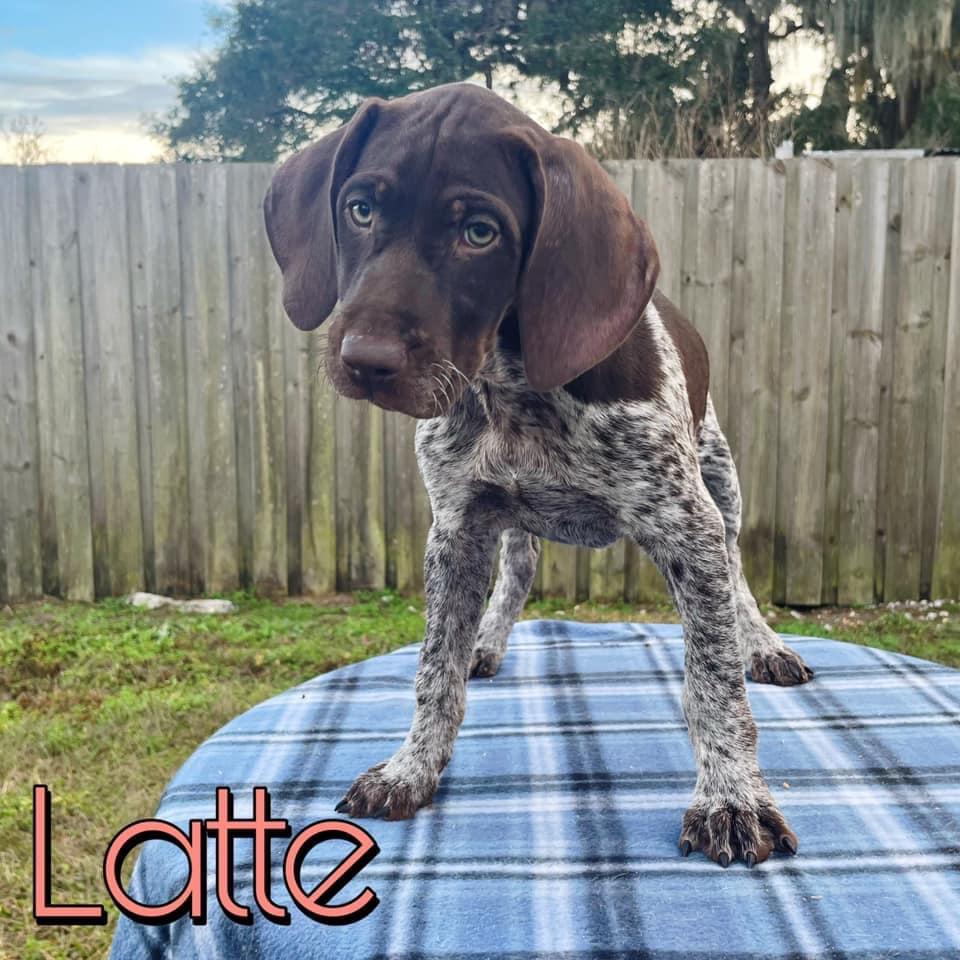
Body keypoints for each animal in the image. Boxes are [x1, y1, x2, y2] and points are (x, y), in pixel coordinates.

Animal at [264, 82, 814, 868]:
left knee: (738, 572)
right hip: (507, 520)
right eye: (360, 209)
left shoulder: (687, 528)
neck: (512, 384)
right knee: (518, 571)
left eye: (480, 233)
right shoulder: (457, 527)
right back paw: (487, 641)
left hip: (720, 478)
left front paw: (732, 798)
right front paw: (412, 767)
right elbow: (434, 671)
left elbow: (713, 684)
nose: (365, 362)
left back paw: (764, 646)